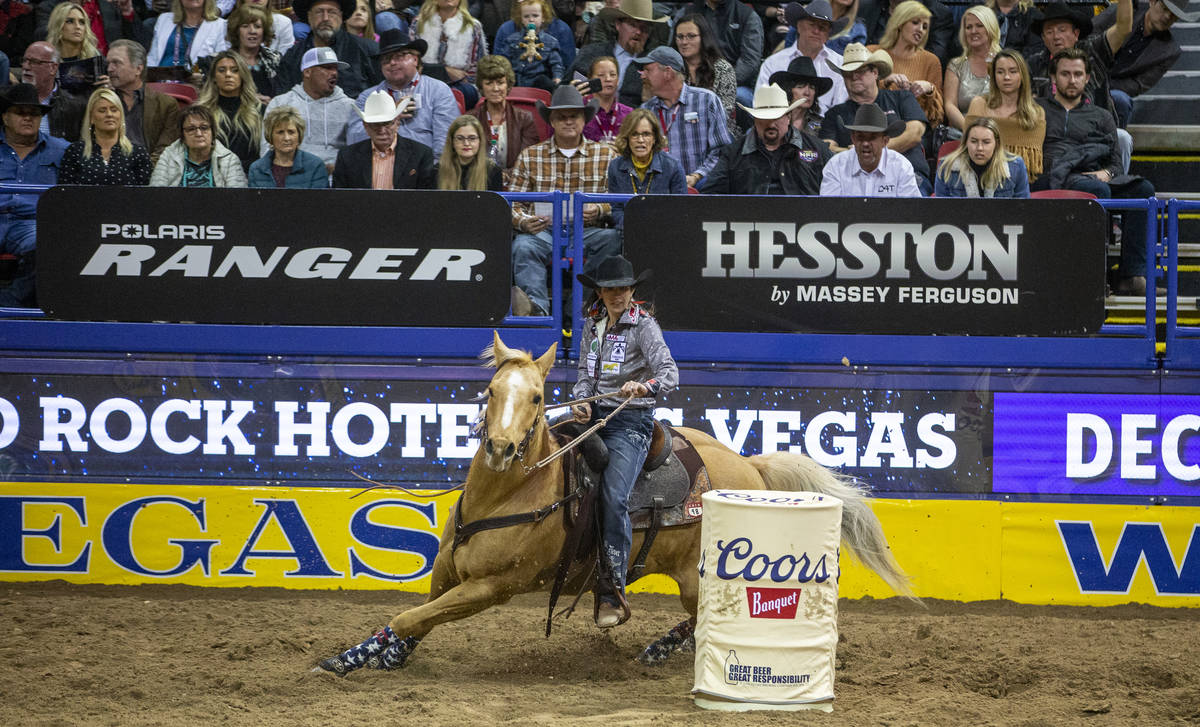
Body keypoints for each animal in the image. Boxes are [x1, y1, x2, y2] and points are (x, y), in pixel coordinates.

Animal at [316, 335, 907, 676]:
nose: (501, 448)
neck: (512, 494)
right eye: (491, 391)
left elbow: (410, 613)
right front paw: (360, 656)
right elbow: (415, 615)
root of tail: (750, 467)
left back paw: (663, 649)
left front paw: (370, 656)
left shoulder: (493, 587)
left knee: (710, 616)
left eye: (536, 397)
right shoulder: (447, 568)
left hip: (697, 579)